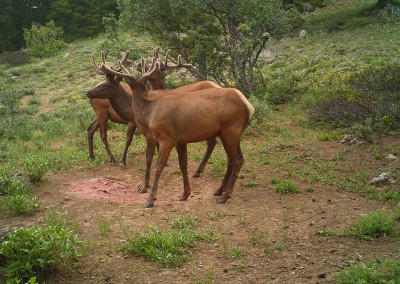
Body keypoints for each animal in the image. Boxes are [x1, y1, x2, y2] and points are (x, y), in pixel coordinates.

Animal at [97, 55, 253, 207]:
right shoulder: (180, 140)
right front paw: (185, 194)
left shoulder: (166, 138)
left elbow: (158, 165)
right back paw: (219, 190)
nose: (91, 92)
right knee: (231, 159)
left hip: (231, 130)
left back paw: (225, 196)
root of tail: (249, 106)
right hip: (224, 133)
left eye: (105, 84)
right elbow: (183, 164)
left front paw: (150, 198)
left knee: (238, 159)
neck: (148, 114)